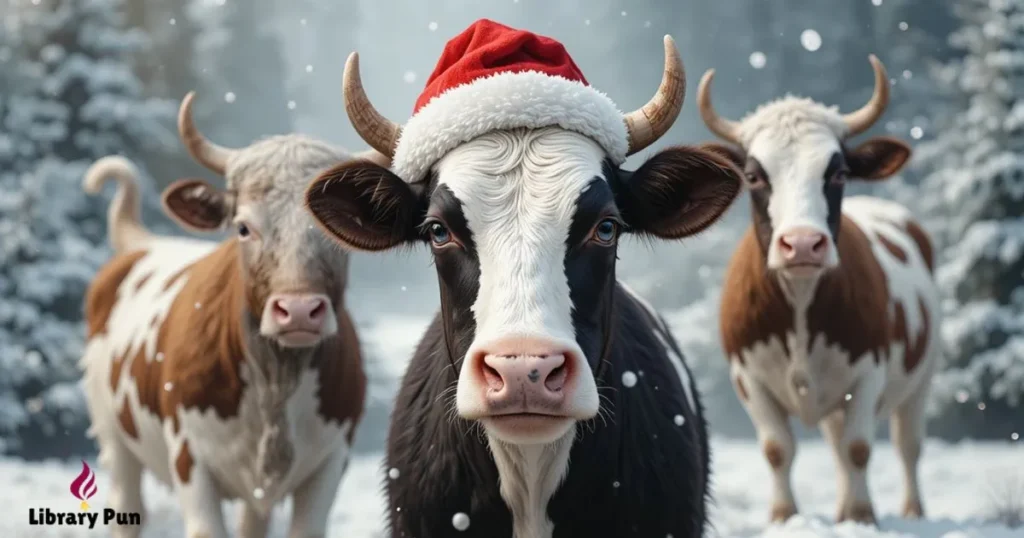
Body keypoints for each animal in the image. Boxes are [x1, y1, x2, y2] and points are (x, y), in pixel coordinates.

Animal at [79, 92, 374, 538]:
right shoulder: (190, 459)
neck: (275, 383)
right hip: (113, 433)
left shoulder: (331, 461)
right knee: (127, 507)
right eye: (243, 228)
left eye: (336, 231)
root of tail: (142, 241)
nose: (299, 311)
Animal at [696, 56, 941, 525]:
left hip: (922, 378)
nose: (803, 243)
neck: (800, 302)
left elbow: (860, 448)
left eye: (839, 172)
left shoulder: (869, 372)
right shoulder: (747, 376)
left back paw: (911, 511)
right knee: (837, 446)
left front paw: (861, 518)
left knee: (908, 445)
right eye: (753, 175)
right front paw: (783, 516)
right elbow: (777, 449)